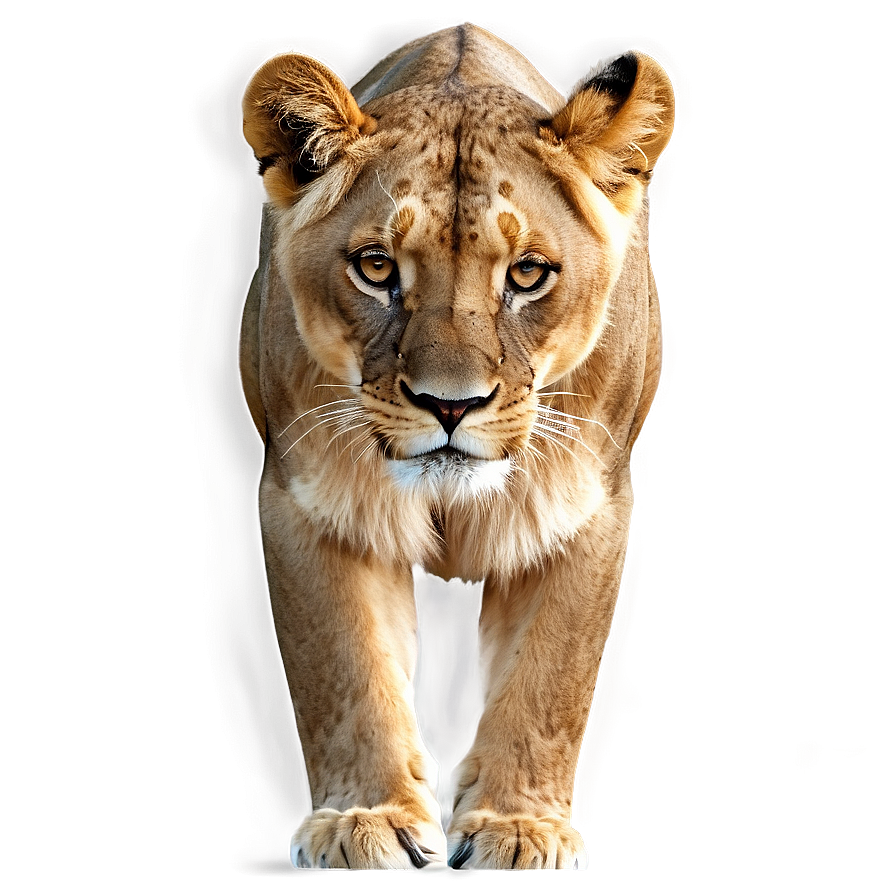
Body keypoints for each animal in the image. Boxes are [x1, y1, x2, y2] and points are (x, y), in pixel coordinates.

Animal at [238, 23, 673, 870]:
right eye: (376, 267)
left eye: (529, 274)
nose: (450, 404)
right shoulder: (303, 498)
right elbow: (342, 664)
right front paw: (365, 818)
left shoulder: (588, 505)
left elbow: (551, 676)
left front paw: (519, 827)